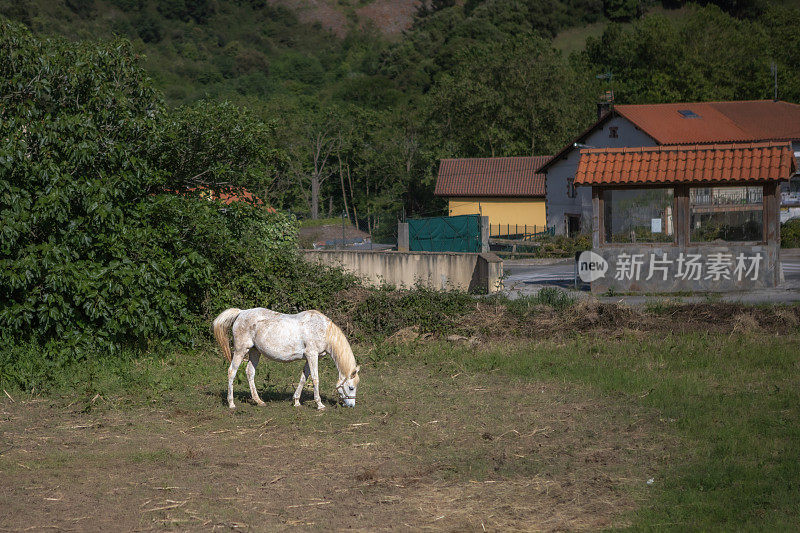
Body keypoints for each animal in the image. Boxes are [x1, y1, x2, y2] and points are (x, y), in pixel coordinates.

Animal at [214, 306, 360, 410]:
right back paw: (231, 404)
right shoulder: (312, 355)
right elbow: (315, 379)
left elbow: (303, 378)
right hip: (241, 350)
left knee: (250, 372)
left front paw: (296, 401)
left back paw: (259, 401)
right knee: (232, 372)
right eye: (351, 387)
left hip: (255, 351)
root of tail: (241, 313)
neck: (322, 329)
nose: (351, 406)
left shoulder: (309, 357)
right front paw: (319, 404)